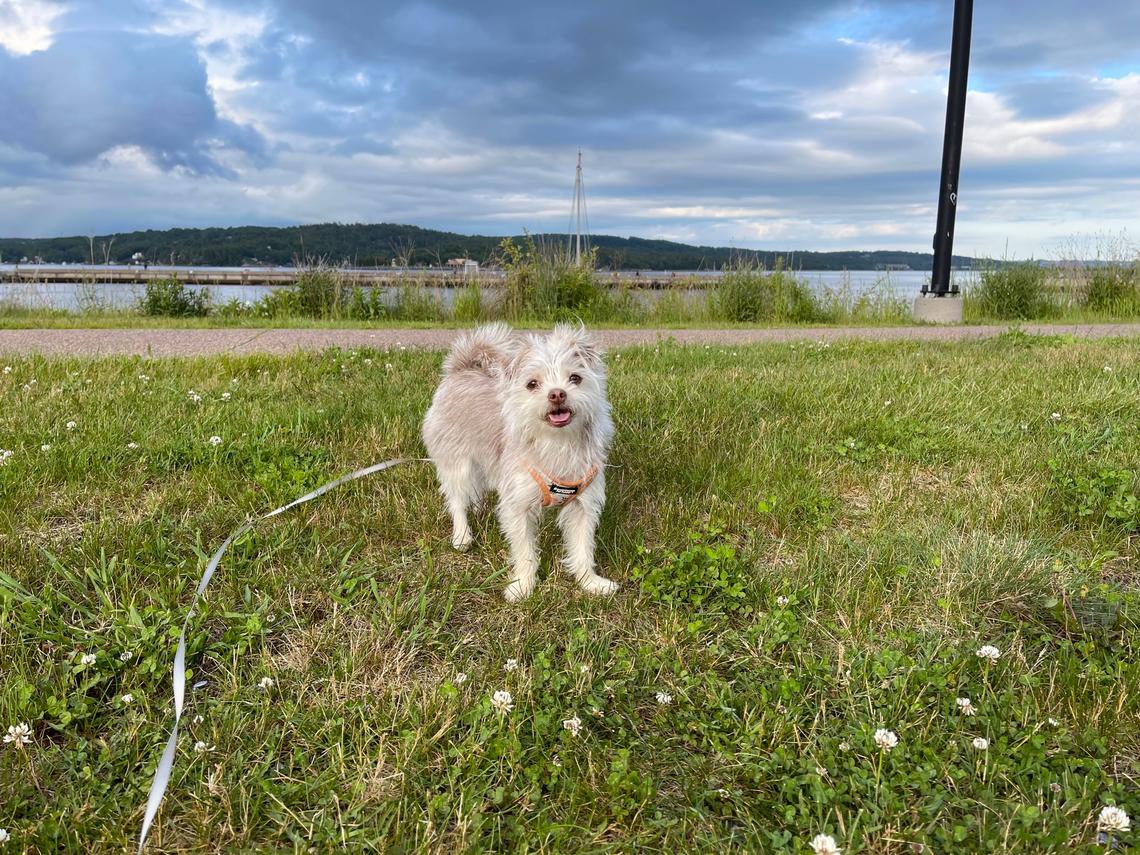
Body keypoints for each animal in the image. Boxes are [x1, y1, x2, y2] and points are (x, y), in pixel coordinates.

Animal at [421, 323, 620, 601]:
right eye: (532, 384)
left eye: (575, 378)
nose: (557, 394)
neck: (556, 442)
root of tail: (463, 368)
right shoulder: (518, 506)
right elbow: (525, 551)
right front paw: (523, 587)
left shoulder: (583, 505)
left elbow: (582, 548)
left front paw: (590, 582)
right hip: (457, 463)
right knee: (457, 499)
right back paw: (462, 535)